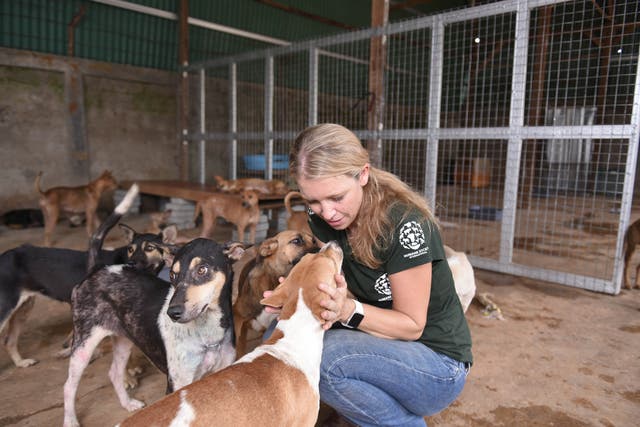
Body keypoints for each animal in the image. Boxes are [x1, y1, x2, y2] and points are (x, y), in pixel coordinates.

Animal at [63, 196, 242, 426]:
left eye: (202, 270)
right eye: (173, 275)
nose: (172, 313)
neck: (207, 331)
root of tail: (97, 269)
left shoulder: (221, 371)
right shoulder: (177, 384)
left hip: (125, 338)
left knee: (114, 372)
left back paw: (128, 404)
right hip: (83, 344)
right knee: (69, 386)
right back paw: (70, 421)